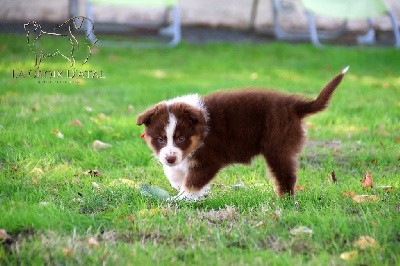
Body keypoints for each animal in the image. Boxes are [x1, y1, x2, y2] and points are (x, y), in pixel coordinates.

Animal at [138, 66, 350, 200]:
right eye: (160, 139)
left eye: (181, 138)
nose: (170, 158)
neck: (201, 130)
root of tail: (294, 106)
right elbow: (174, 173)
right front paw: (180, 186)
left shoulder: (208, 160)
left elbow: (193, 181)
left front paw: (182, 198)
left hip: (278, 147)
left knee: (286, 176)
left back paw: (286, 200)